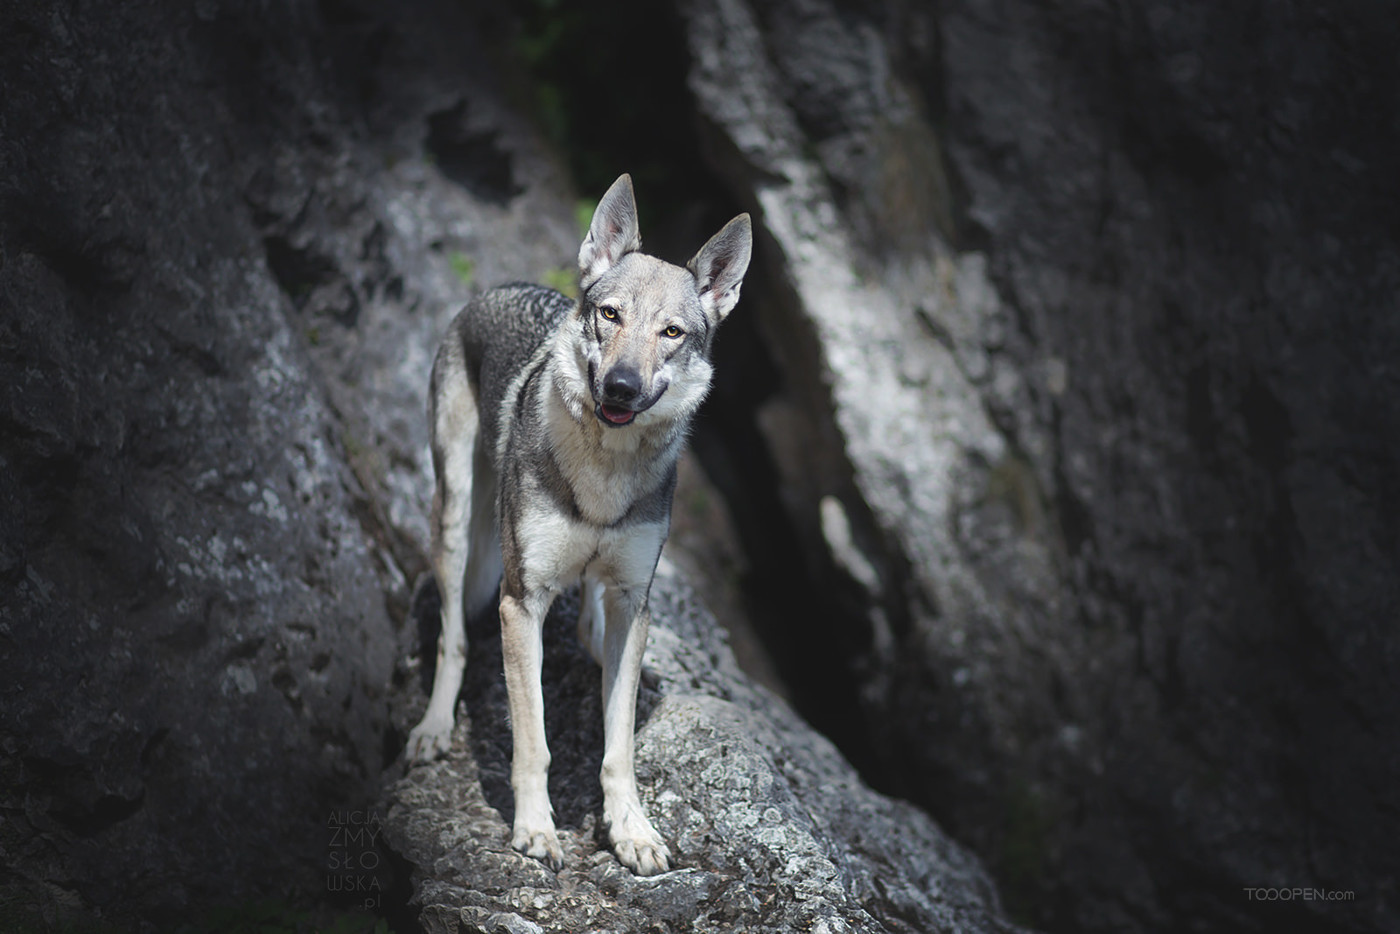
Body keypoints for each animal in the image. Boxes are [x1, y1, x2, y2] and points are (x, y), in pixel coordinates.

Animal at [406, 173, 756, 879]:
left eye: (671, 332)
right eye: (611, 315)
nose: (620, 387)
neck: (604, 474)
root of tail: (495, 288)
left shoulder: (631, 601)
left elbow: (618, 745)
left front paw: (632, 831)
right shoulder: (521, 602)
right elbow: (533, 740)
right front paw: (536, 829)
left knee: (592, 629)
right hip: (456, 523)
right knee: (453, 639)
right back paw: (432, 729)